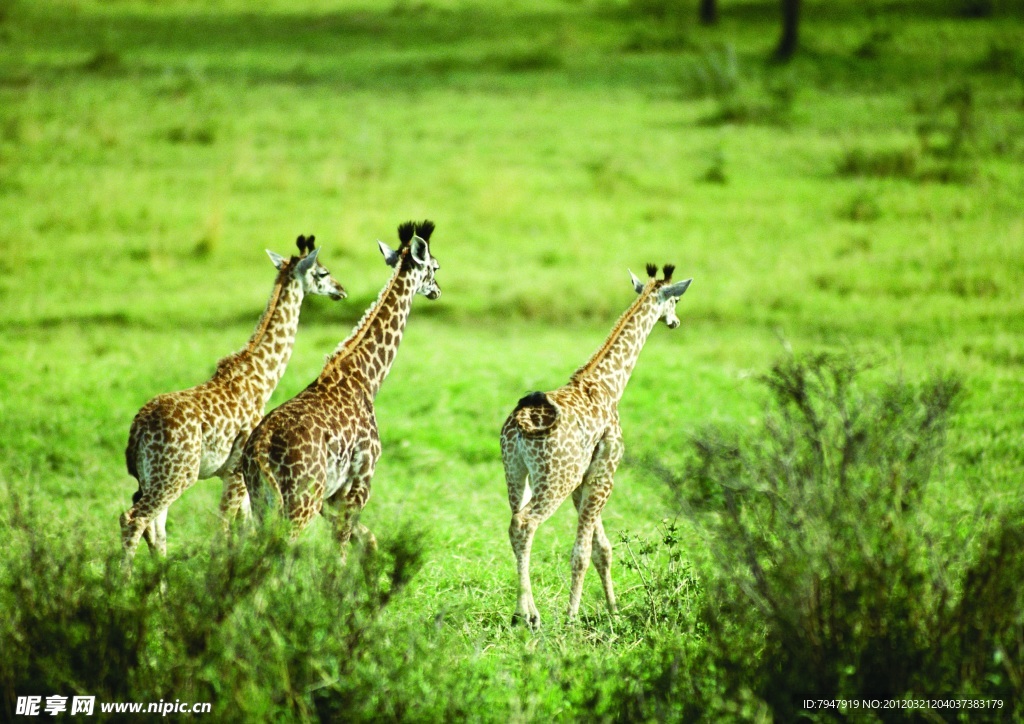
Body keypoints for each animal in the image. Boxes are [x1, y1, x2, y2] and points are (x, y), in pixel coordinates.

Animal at [120, 236, 348, 565]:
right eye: (322, 272)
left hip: (154, 475)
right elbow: (225, 529)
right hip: (176, 474)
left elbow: (243, 528)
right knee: (134, 519)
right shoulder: (235, 471)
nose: (341, 290)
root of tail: (137, 430)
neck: (260, 379)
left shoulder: (238, 476)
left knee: (155, 527)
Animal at [241, 219, 442, 557]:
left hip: (261, 501)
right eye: (435, 267)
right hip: (300, 499)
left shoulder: (333, 493)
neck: (367, 377)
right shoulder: (362, 478)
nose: (437, 291)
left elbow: (365, 540)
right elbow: (342, 550)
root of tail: (260, 450)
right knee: (282, 549)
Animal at [499, 262, 692, 626]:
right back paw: (530, 615)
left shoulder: (585, 479)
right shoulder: (605, 472)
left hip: (516, 475)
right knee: (526, 524)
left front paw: (614, 611)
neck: (609, 385)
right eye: (674, 301)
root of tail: (519, 426)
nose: (675, 322)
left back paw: (523, 613)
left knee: (515, 525)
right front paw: (572, 617)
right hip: (555, 480)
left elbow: (603, 549)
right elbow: (583, 551)